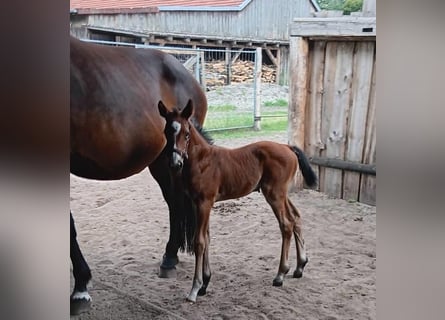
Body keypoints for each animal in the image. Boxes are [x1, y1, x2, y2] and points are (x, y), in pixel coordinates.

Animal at [158, 100, 318, 302]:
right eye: (166, 132)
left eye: (186, 134)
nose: (175, 163)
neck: (202, 161)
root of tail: (287, 147)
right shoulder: (198, 203)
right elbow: (207, 238)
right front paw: (205, 284)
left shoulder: (204, 202)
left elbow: (199, 241)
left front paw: (194, 289)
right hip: (282, 194)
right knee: (296, 217)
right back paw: (300, 266)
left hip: (274, 194)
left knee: (286, 225)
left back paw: (280, 274)